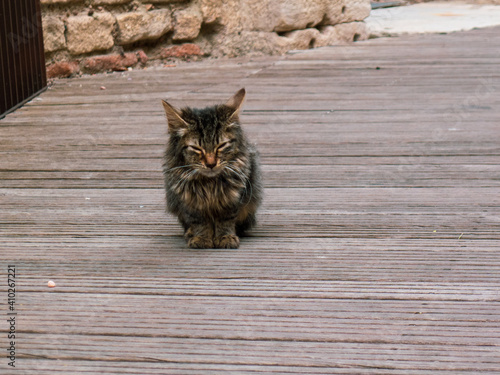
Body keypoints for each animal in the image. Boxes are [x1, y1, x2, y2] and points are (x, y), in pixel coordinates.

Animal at [161, 89, 264, 250]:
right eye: (196, 148)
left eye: (221, 146)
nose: (211, 163)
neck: (209, 184)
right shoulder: (191, 202)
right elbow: (200, 222)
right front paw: (202, 238)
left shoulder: (231, 198)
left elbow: (225, 220)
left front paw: (225, 237)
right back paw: (190, 233)